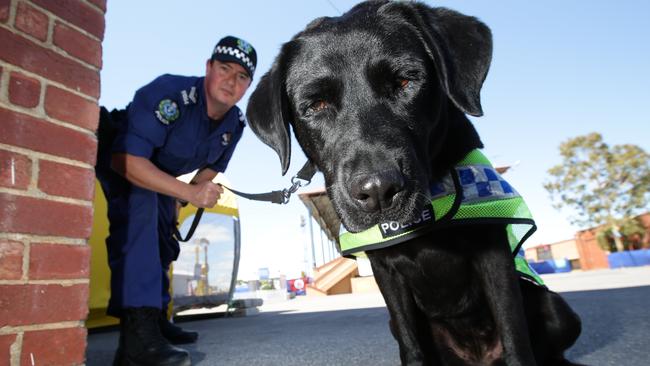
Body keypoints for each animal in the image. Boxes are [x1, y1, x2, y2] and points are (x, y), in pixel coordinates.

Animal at [248, 1, 584, 364]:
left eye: (405, 81)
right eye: (316, 105)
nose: (377, 191)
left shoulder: (493, 252)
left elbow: (515, 336)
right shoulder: (385, 272)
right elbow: (412, 345)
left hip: (558, 309)